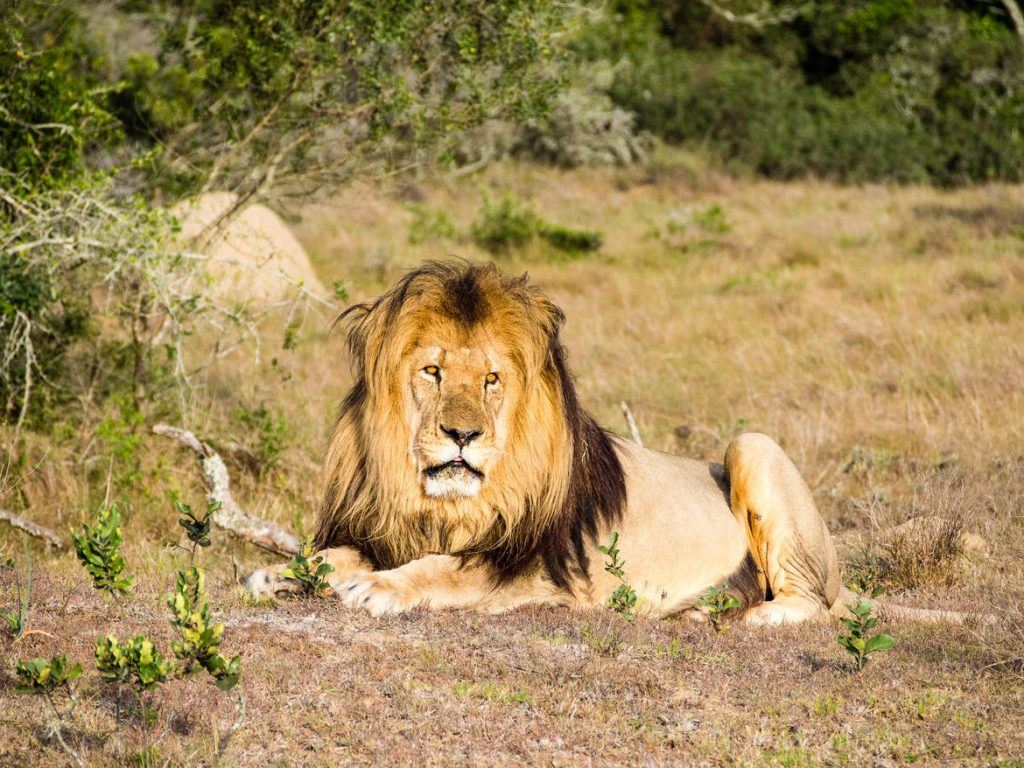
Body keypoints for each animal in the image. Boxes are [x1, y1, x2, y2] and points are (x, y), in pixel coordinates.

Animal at [243, 260, 962, 626]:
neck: (442, 504)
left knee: (810, 603)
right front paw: (275, 573)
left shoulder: (536, 567)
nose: (462, 434)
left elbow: (443, 569)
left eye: (492, 380)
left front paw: (377, 589)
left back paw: (739, 617)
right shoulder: (378, 530)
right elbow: (331, 556)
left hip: (752, 446)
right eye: (433, 371)